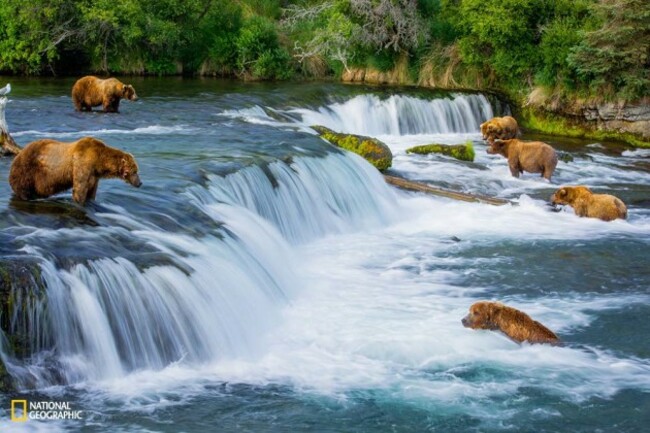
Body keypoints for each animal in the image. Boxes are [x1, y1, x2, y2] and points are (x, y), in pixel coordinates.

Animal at [9, 136, 142, 205]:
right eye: (135, 171)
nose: (140, 183)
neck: (99, 161)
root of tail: (19, 153)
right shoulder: (82, 163)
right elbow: (80, 188)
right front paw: (80, 202)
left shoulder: (94, 175)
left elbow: (91, 190)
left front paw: (90, 200)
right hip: (28, 168)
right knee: (22, 185)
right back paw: (26, 196)